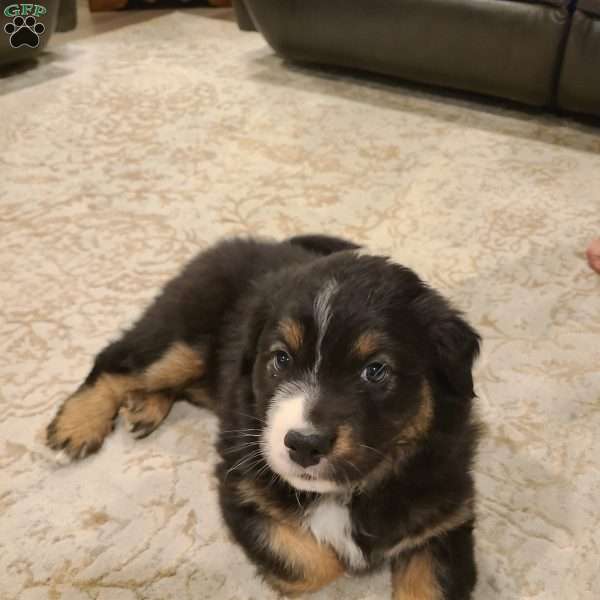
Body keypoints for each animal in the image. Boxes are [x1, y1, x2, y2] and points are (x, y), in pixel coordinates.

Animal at [47, 234, 482, 600]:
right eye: (281, 359)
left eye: (375, 370)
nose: (304, 445)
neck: (348, 492)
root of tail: (248, 241)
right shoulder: (241, 486)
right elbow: (314, 565)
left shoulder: (447, 521)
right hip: (182, 337)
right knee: (116, 359)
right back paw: (76, 426)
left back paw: (145, 405)